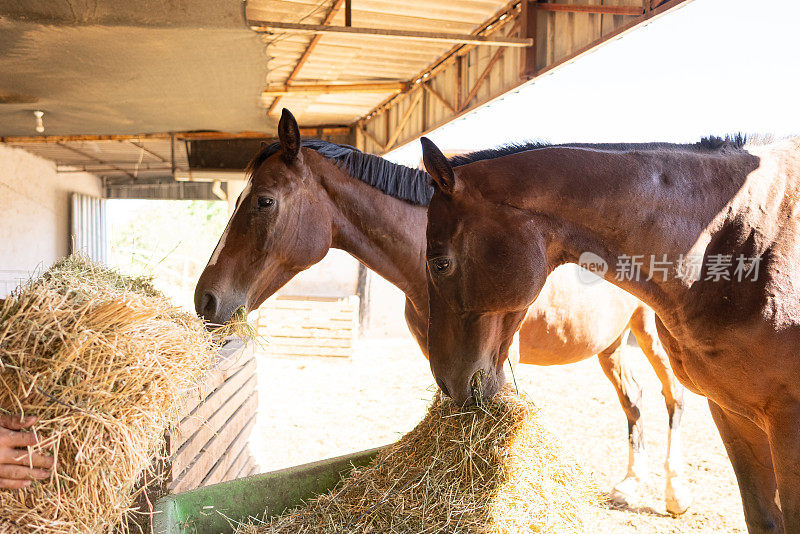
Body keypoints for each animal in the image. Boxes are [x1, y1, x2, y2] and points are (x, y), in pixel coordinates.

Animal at [192, 110, 688, 516]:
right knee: (634, 400)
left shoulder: (500, 356)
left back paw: (674, 496)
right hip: (611, 344)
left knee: (674, 397)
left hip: (654, 333)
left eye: (264, 201)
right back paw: (629, 484)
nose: (205, 300)